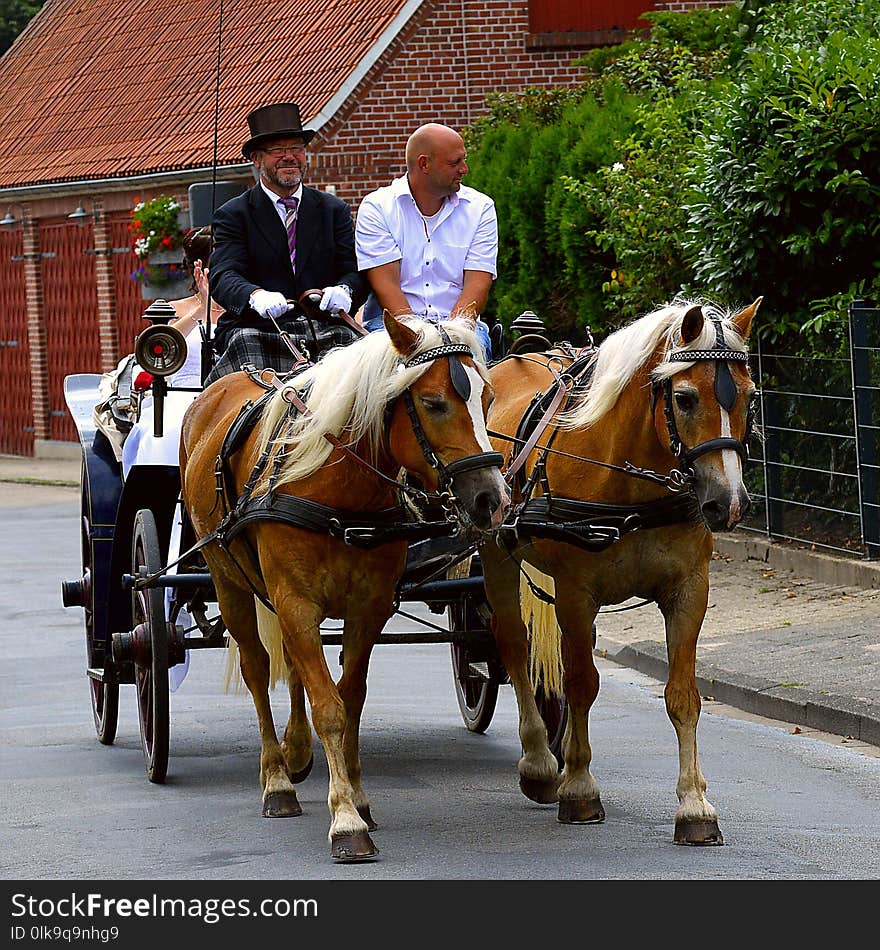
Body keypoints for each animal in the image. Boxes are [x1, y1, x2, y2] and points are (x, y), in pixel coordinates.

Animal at [179, 316, 508, 868]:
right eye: (433, 402)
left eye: (487, 397)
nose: (492, 499)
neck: (339, 489)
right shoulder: (295, 601)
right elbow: (328, 708)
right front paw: (346, 821)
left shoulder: (367, 607)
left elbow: (348, 699)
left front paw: (358, 796)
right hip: (230, 583)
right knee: (256, 668)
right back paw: (277, 780)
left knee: (294, 668)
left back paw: (295, 752)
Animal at [478, 298, 760, 848]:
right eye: (685, 398)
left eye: (750, 396)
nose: (729, 503)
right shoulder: (575, 592)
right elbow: (583, 683)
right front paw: (579, 789)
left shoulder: (688, 592)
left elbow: (682, 696)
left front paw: (694, 806)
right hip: (497, 551)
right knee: (515, 646)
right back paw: (541, 763)